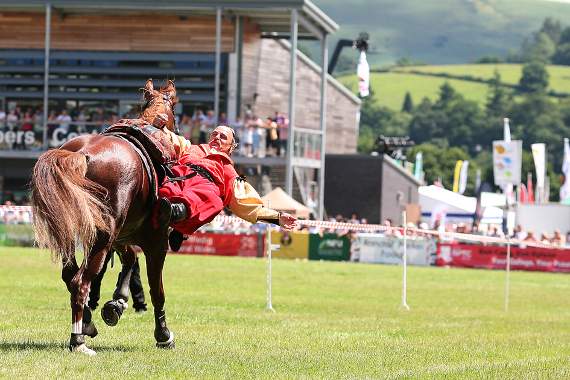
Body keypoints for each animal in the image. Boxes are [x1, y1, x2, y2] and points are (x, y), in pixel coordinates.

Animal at [29, 79, 180, 356]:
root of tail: (82, 154)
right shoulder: (155, 242)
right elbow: (157, 290)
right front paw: (163, 334)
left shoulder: (121, 237)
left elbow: (130, 261)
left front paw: (117, 303)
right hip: (102, 236)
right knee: (80, 281)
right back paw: (78, 340)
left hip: (73, 230)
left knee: (70, 275)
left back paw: (87, 323)